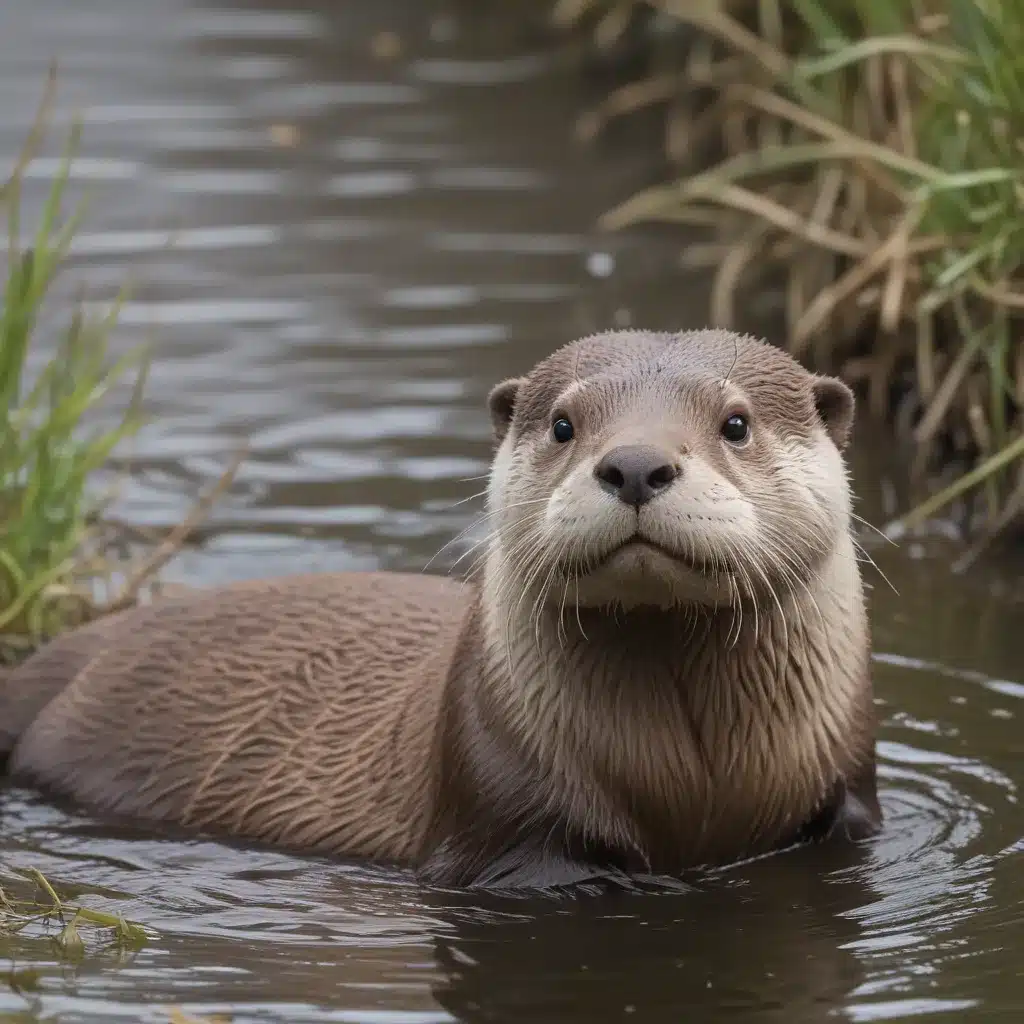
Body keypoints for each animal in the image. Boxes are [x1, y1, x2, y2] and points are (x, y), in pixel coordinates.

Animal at [0, 329, 880, 888]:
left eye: (735, 422)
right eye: (565, 424)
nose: (634, 463)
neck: (695, 789)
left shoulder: (848, 787)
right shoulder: (501, 813)